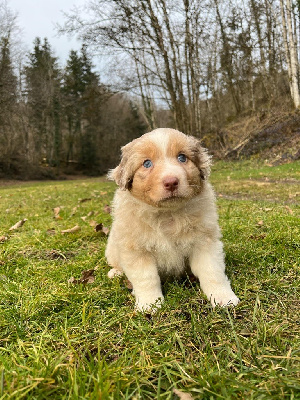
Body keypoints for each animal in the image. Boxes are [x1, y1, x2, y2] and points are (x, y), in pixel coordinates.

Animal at [105, 130, 239, 310]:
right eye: (147, 163)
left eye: (182, 157)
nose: (171, 182)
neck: (167, 213)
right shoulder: (136, 249)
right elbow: (146, 278)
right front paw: (149, 304)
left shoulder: (205, 241)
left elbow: (212, 271)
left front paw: (223, 297)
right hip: (112, 248)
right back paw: (115, 272)